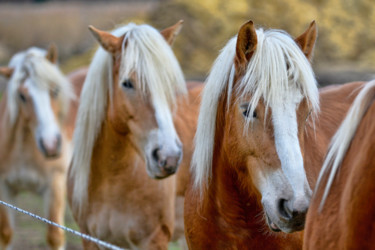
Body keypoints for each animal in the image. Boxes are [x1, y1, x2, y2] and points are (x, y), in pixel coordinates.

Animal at [0, 45, 78, 250]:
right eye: (21, 95)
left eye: (55, 90)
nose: (50, 144)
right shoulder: (4, 188)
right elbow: (6, 234)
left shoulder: (54, 185)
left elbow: (54, 236)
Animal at [67, 20, 203, 249]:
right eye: (127, 83)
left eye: (169, 85)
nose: (169, 157)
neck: (111, 181)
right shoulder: (90, 238)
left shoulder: (153, 240)